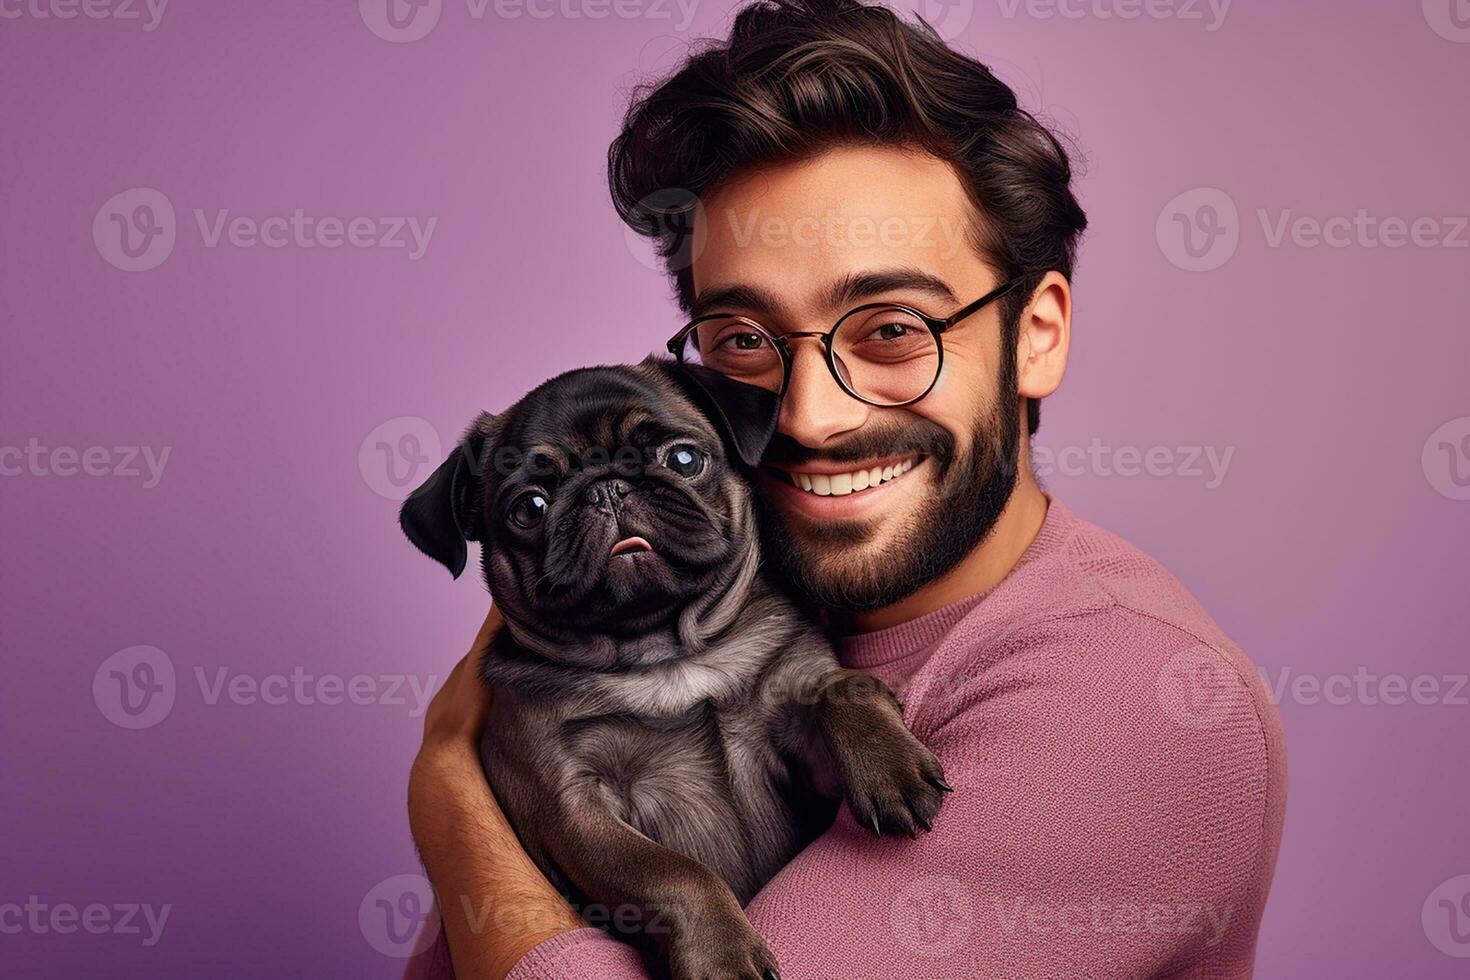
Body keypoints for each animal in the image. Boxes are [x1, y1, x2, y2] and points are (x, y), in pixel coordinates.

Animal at [399, 359, 952, 980]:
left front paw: (890, 766)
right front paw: (722, 956)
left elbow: (843, 687)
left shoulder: (804, 741)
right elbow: (672, 873)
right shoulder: (571, 804)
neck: (666, 656)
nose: (606, 487)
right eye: (529, 508)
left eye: (683, 459)